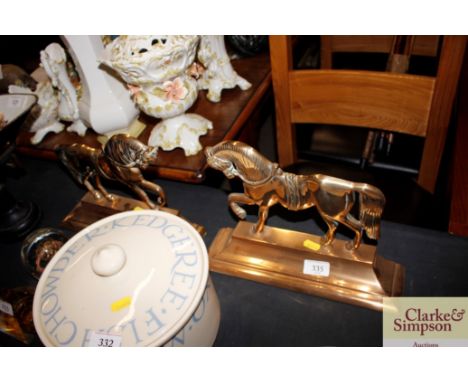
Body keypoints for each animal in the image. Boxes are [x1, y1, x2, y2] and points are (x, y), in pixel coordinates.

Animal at [207, 141, 386, 251]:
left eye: (214, 163)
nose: (230, 175)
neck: (258, 173)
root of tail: (350, 186)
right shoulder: (259, 201)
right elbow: (236, 200)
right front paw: (251, 225)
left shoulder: (257, 201)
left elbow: (236, 200)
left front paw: (244, 217)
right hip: (338, 213)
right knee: (343, 226)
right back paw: (330, 243)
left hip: (330, 212)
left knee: (351, 227)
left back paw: (347, 248)